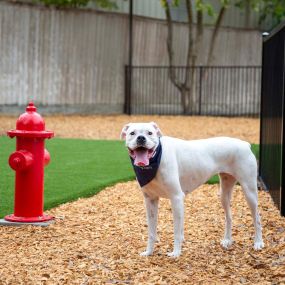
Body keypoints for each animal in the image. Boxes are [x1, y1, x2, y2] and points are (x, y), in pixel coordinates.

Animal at [120, 121, 264, 256]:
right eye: (132, 133)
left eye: (150, 133)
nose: (141, 138)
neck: (156, 159)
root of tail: (245, 144)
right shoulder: (150, 200)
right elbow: (151, 231)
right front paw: (149, 252)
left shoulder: (176, 198)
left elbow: (177, 231)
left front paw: (176, 253)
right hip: (224, 193)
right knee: (229, 217)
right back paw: (227, 240)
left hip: (250, 191)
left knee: (257, 218)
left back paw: (258, 242)